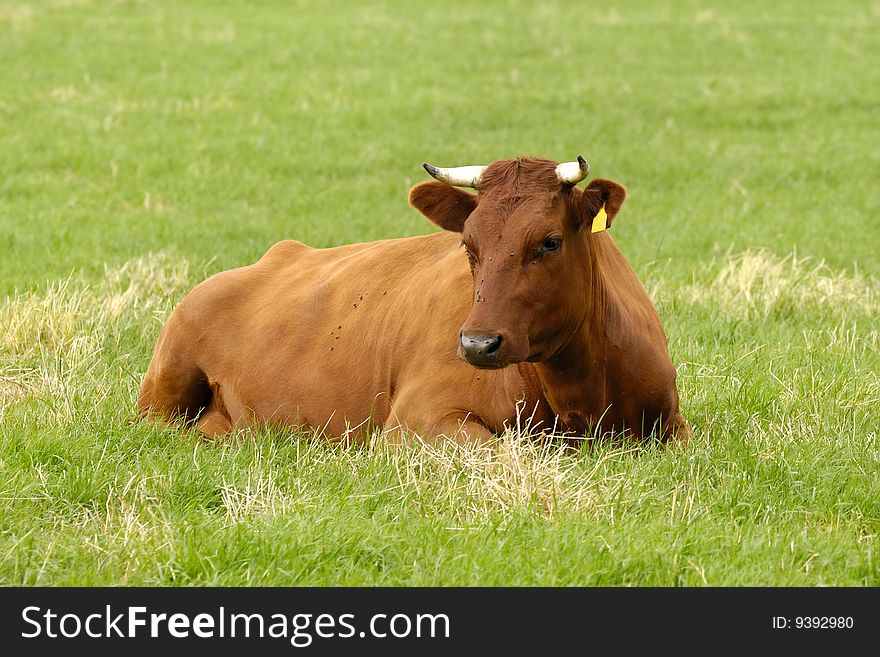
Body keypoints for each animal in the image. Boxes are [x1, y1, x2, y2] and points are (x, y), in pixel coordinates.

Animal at [139, 156, 688, 444]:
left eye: (550, 242)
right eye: (468, 244)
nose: (477, 344)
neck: (582, 394)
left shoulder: (674, 424)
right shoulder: (418, 419)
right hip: (164, 388)